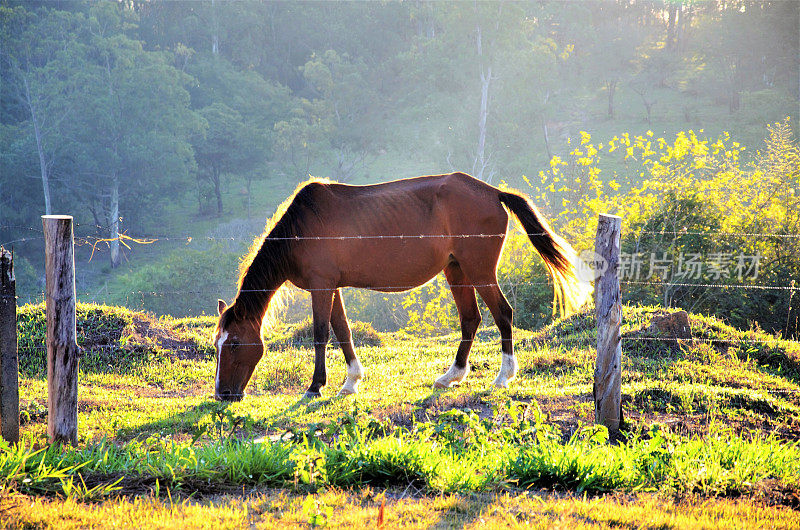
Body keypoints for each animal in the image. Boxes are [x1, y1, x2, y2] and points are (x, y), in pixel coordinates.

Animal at [212, 171, 588, 398]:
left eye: (234, 344)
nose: (222, 395)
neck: (301, 228)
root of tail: (493, 193)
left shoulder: (321, 286)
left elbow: (321, 334)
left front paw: (316, 386)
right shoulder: (332, 287)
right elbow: (342, 330)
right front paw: (351, 381)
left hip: (479, 270)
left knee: (503, 314)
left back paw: (503, 376)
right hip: (456, 270)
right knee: (471, 319)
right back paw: (451, 375)